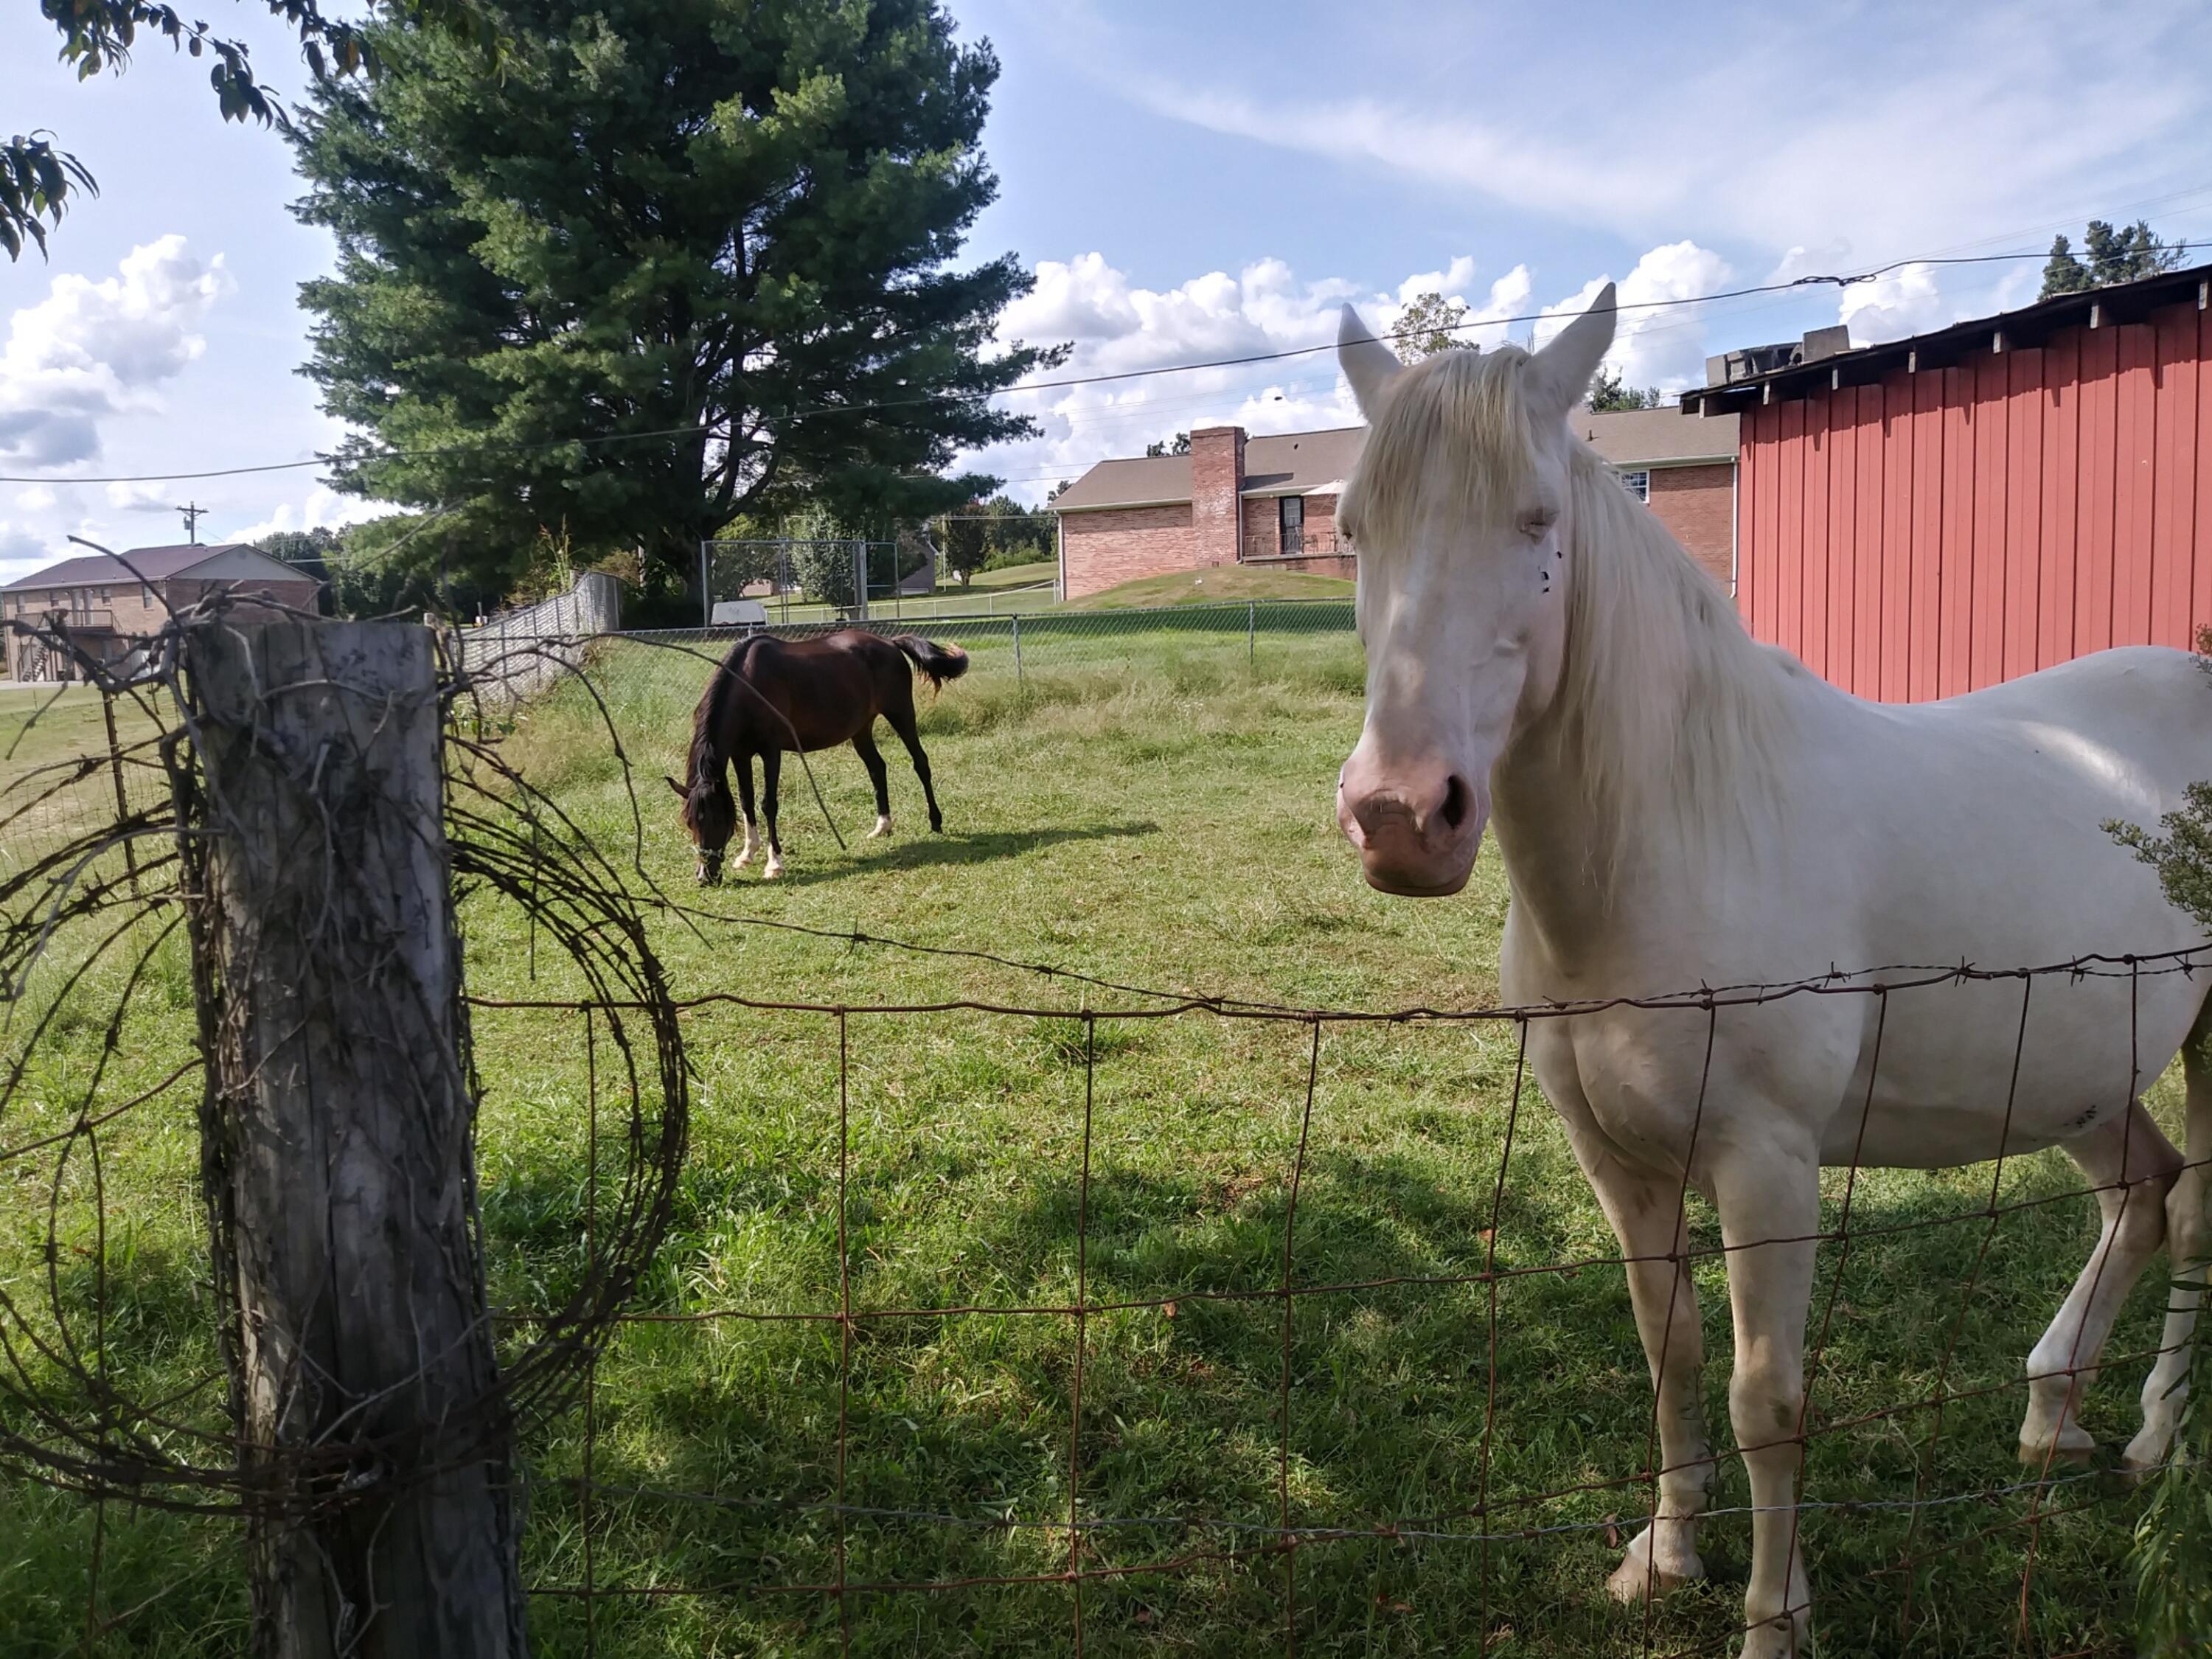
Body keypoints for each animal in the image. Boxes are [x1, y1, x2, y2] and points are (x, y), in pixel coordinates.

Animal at [667, 629, 967, 882]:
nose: (705, 877)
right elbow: (746, 801)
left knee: (921, 763)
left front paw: (774, 864)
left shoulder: (771, 752)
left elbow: (768, 804)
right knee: (877, 768)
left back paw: (935, 821)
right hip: (861, 730)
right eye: (690, 822)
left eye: (718, 821)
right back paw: (882, 827)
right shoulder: (741, 755)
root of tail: (890, 642)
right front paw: (746, 855)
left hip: (901, 713)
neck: (749, 684)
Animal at [1330, 288, 2212, 1656]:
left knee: (2198, 1214)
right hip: (2082, 1070)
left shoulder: (1769, 1166)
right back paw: (2053, 1413)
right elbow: (1673, 1354)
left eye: (1537, 520)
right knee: (2145, 1194)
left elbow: (1768, 1398)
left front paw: (1770, 1617)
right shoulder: (1619, 1164)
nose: (1401, 818)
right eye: (1353, 530)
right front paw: (1664, 1558)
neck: (1678, 833)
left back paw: (2156, 1439)